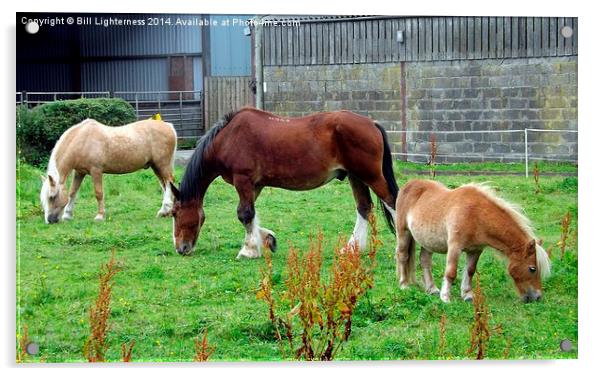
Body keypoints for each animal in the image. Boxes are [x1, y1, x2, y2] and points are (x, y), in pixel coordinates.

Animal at [39, 118, 176, 223]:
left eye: (52, 197)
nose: (50, 220)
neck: (82, 140)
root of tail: (169, 127)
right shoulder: (79, 172)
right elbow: (72, 192)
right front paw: (67, 215)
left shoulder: (96, 171)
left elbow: (98, 193)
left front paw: (100, 216)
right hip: (156, 167)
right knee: (166, 185)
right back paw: (169, 212)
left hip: (162, 165)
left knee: (168, 182)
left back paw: (164, 210)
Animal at [168, 107, 398, 258]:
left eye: (175, 214)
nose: (181, 248)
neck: (228, 138)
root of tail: (372, 123)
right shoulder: (255, 185)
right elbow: (252, 216)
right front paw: (267, 239)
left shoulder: (243, 180)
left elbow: (245, 214)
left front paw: (248, 250)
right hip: (355, 177)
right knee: (364, 208)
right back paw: (352, 248)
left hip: (370, 176)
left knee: (392, 202)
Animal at [394, 178, 548, 302]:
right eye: (532, 268)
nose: (537, 297)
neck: (476, 214)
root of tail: (409, 184)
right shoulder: (455, 247)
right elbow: (451, 273)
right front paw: (446, 297)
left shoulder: (475, 250)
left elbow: (470, 271)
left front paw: (467, 295)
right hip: (403, 232)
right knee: (402, 256)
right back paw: (404, 285)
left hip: (427, 241)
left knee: (425, 261)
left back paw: (432, 289)